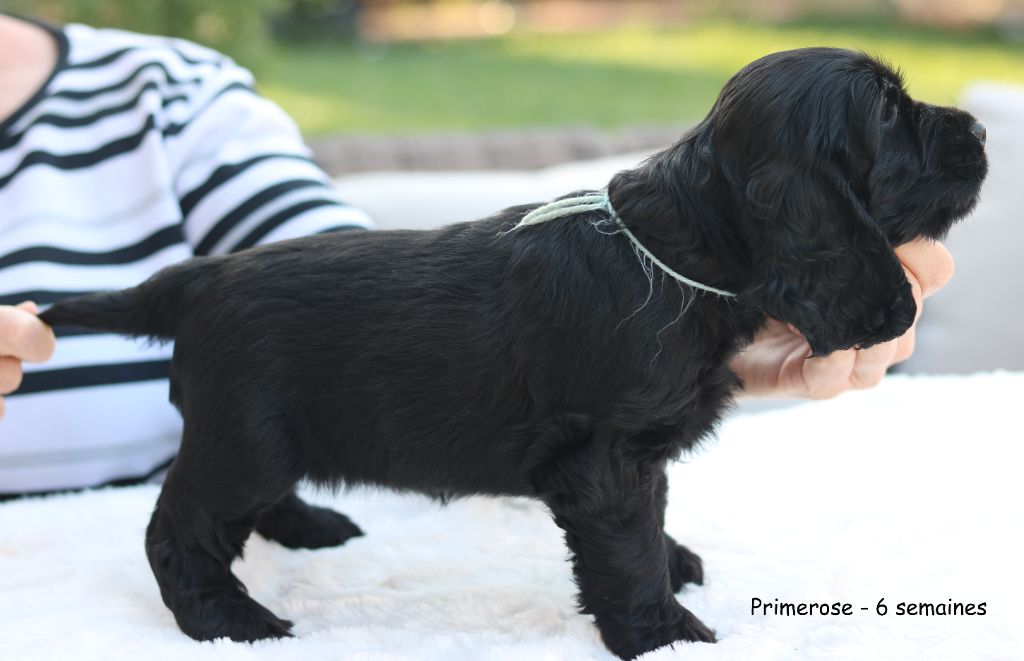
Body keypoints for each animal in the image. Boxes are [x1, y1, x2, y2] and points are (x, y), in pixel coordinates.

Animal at [37, 47, 983, 661]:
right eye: (889, 113)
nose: (978, 127)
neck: (676, 257)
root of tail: (197, 277)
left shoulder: (638, 450)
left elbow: (654, 516)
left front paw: (676, 569)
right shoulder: (602, 460)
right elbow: (626, 547)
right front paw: (664, 634)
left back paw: (310, 527)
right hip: (245, 438)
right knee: (177, 530)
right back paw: (230, 620)